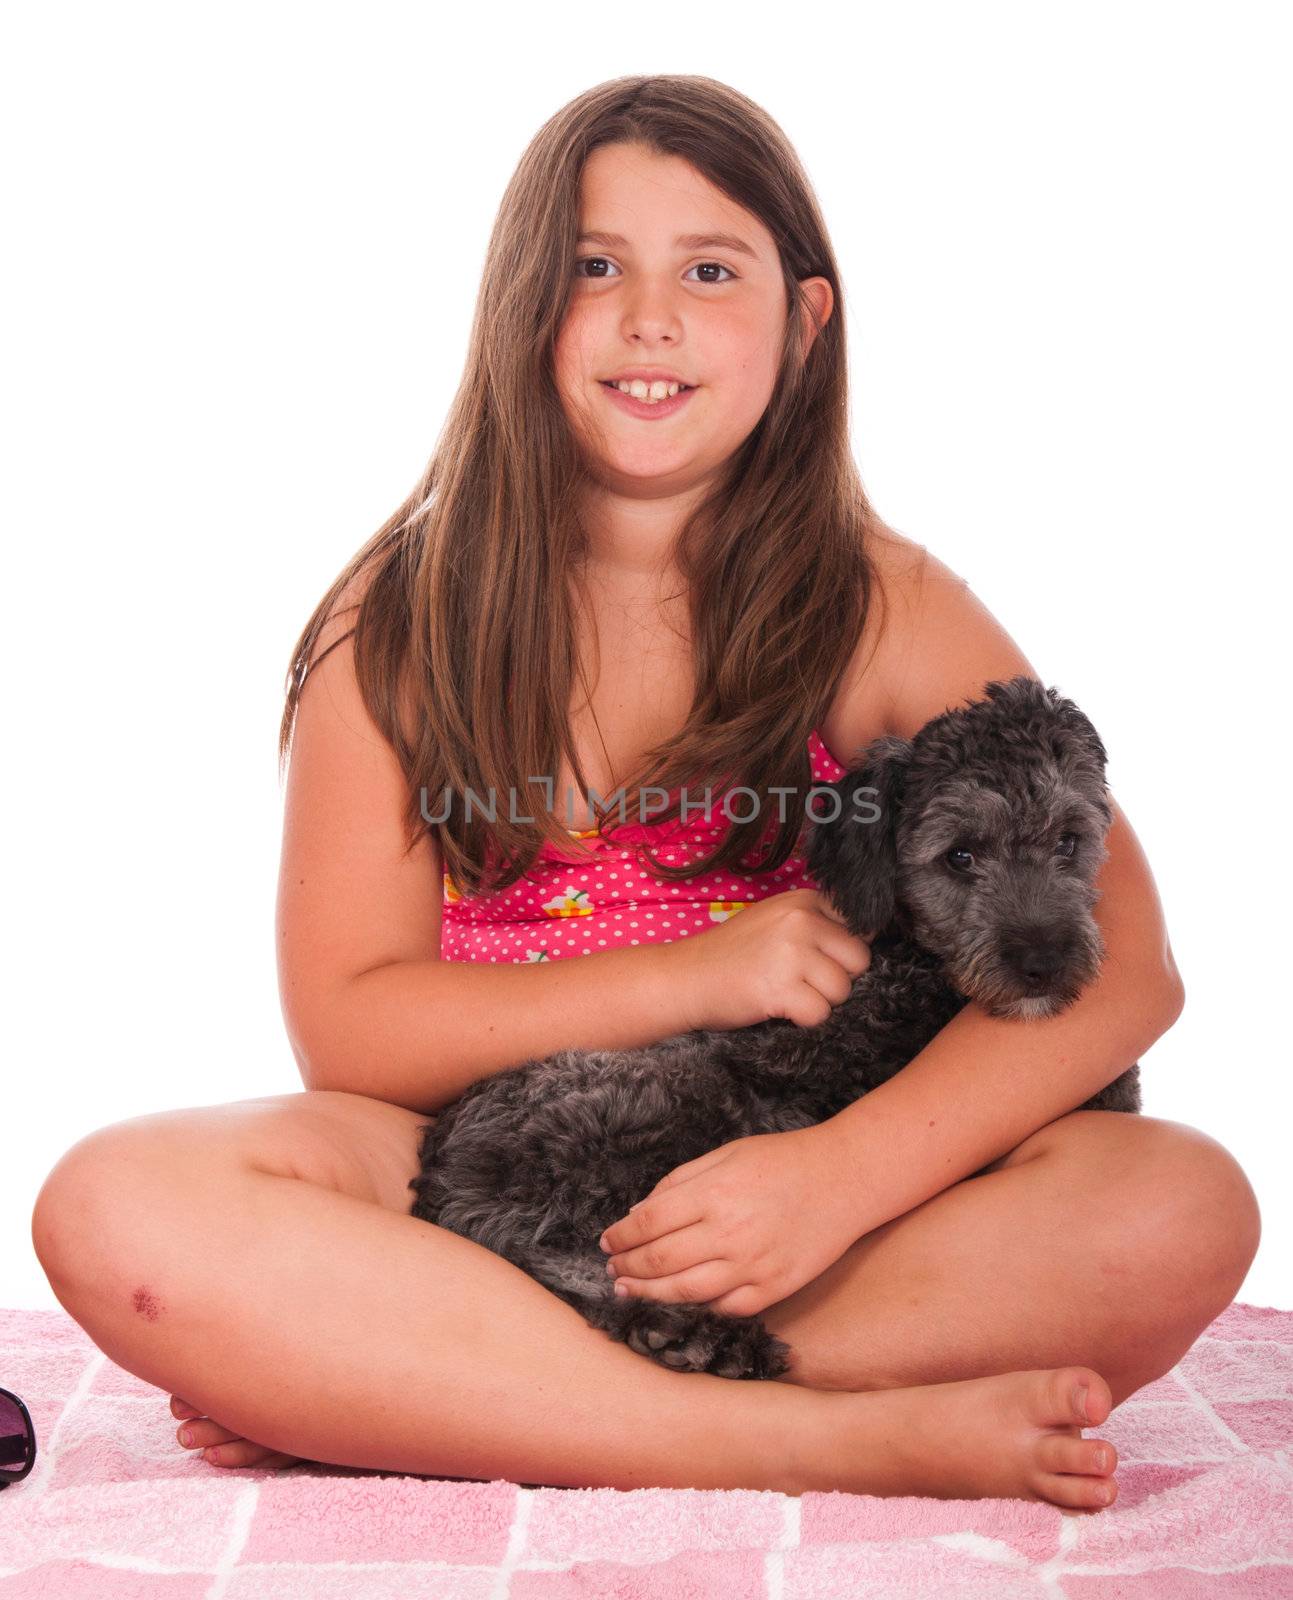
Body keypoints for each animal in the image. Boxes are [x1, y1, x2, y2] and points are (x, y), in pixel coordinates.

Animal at [406, 668, 1139, 1382]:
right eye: (959, 857)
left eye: (1069, 842)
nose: (1043, 964)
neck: (913, 964)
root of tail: (437, 1166)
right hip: (658, 1106)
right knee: (565, 1261)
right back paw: (691, 1333)